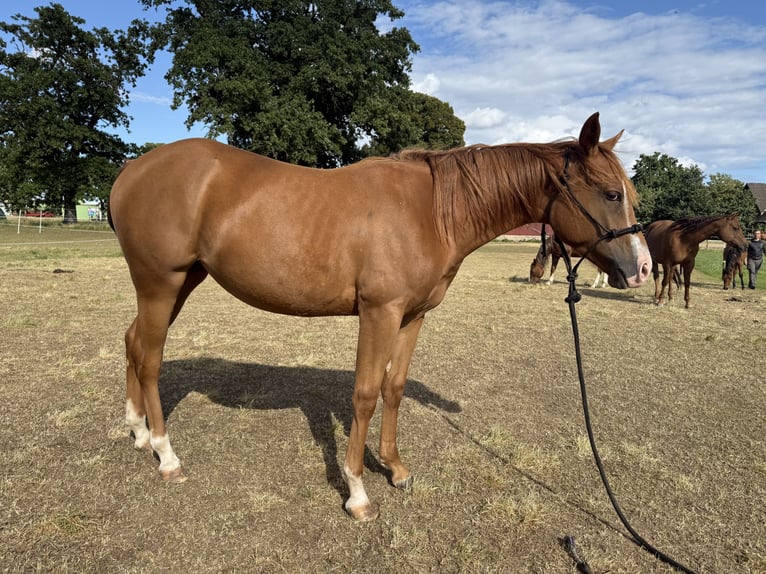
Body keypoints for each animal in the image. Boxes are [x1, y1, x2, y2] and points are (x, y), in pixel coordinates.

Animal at [108, 112, 651, 521]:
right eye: (610, 193)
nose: (642, 268)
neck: (430, 211)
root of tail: (132, 169)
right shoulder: (379, 313)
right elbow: (366, 394)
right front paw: (358, 493)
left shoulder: (412, 316)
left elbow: (394, 388)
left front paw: (395, 468)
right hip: (160, 283)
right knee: (150, 358)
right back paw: (167, 456)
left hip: (182, 281)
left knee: (133, 343)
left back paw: (138, 432)